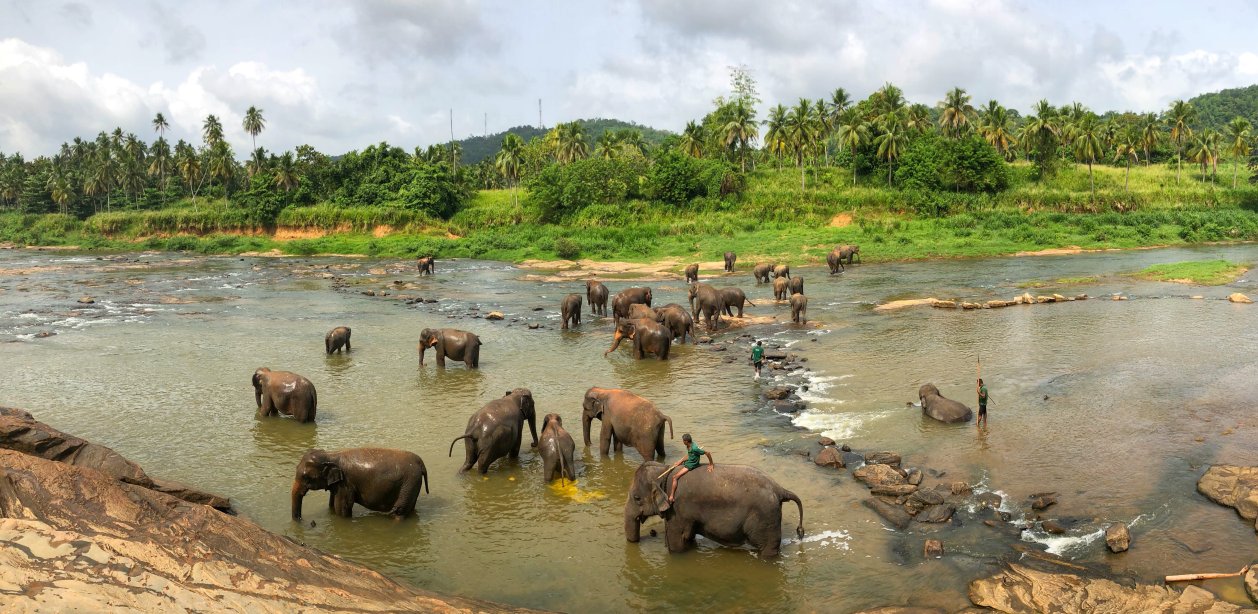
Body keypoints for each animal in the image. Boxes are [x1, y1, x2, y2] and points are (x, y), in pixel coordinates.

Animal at [291, 447, 430, 520]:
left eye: (305, 477)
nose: (301, 520)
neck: (330, 454)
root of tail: (420, 462)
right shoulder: (338, 484)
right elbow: (332, 505)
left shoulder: (346, 484)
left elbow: (342, 509)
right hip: (413, 485)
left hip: (409, 483)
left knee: (399, 512)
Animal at [621, 460, 805, 556]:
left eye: (637, 498)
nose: (649, 535)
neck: (665, 470)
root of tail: (779, 489)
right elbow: (688, 537)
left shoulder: (677, 509)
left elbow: (676, 540)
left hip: (766, 518)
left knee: (767, 548)